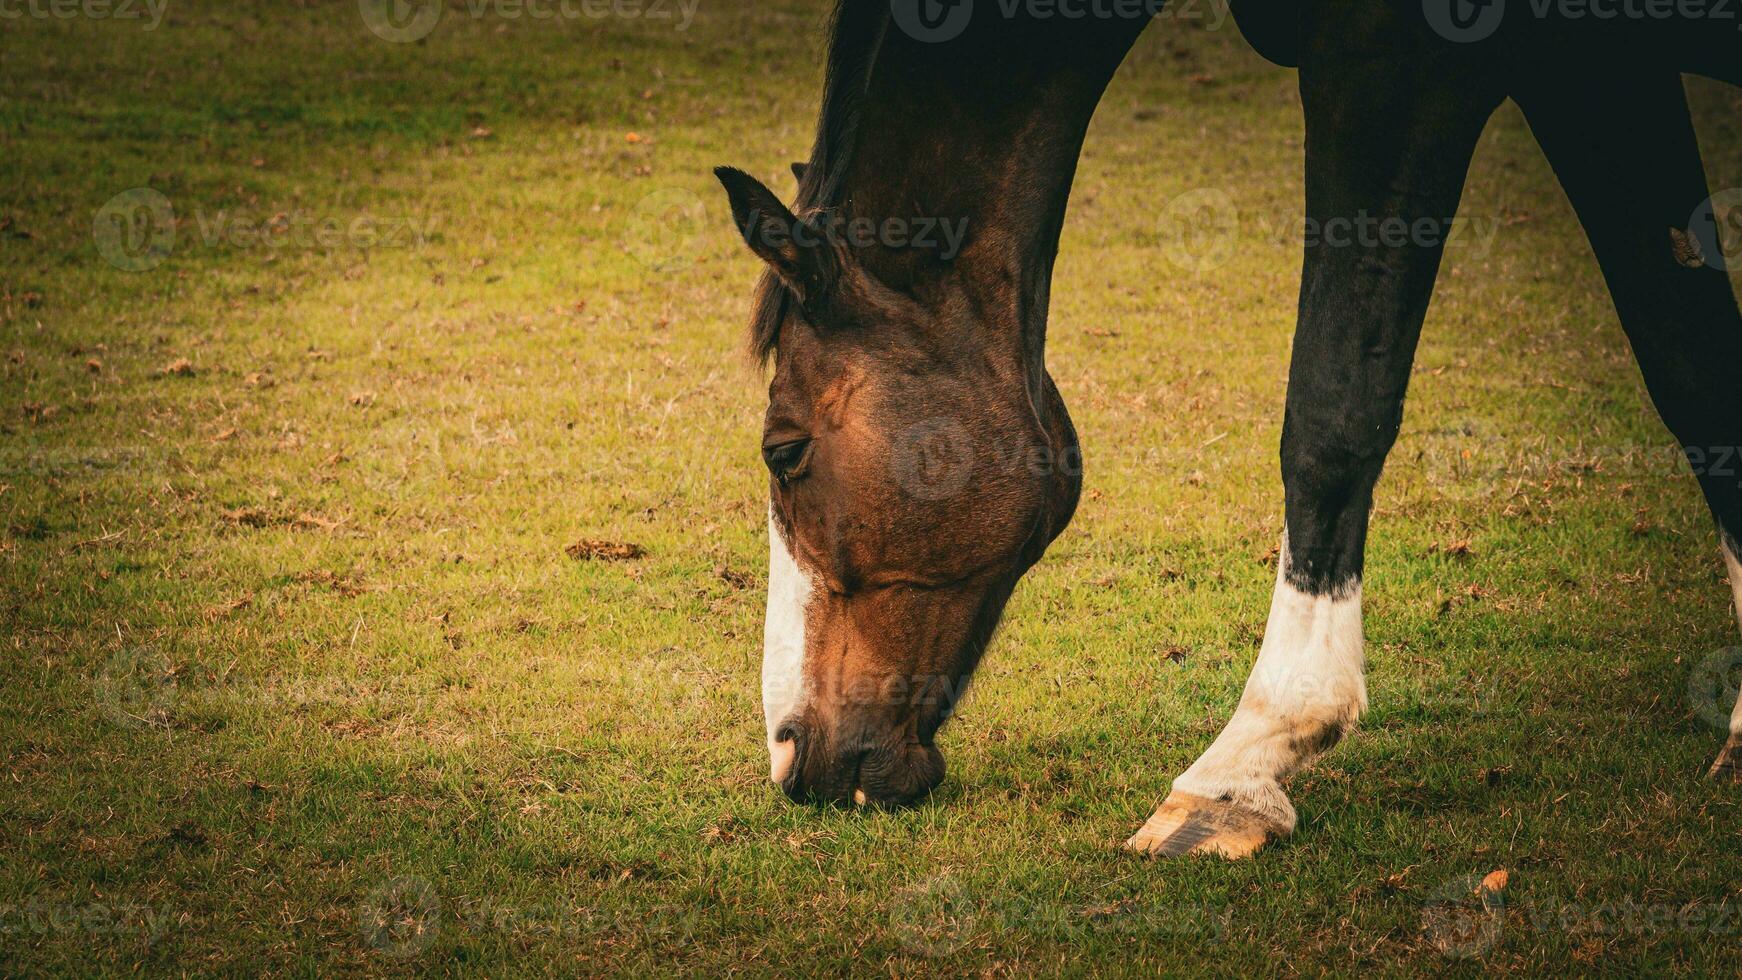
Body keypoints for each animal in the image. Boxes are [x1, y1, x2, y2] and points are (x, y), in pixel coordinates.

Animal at [714, 0, 1742, 859]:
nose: (788, 756)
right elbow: (1691, 362)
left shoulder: (1394, 63)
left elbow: (1332, 411)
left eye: (784, 451)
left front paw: (1244, 764)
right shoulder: (1590, 68)